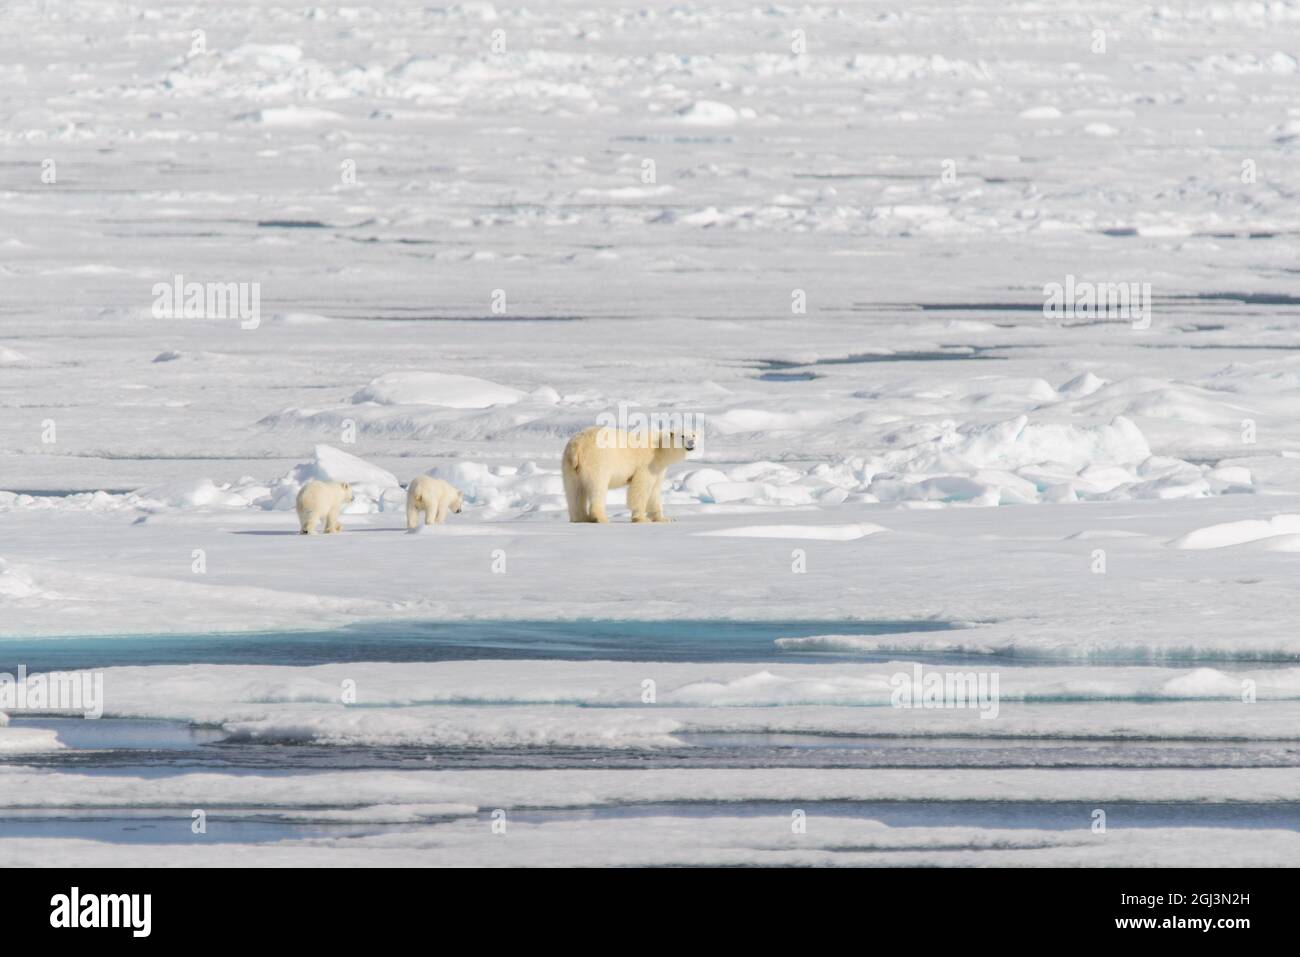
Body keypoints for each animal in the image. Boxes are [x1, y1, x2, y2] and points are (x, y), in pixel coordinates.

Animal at [561, 426, 696, 523]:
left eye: (693, 435)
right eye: (682, 436)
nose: (692, 443)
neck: (659, 448)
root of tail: (577, 446)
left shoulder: (658, 469)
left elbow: (654, 491)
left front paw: (665, 518)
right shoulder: (646, 464)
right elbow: (640, 488)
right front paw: (641, 518)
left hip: (570, 468)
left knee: (574, 491)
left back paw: (580, 518)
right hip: (597, 461)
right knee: (597, 488)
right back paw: (601, 518)